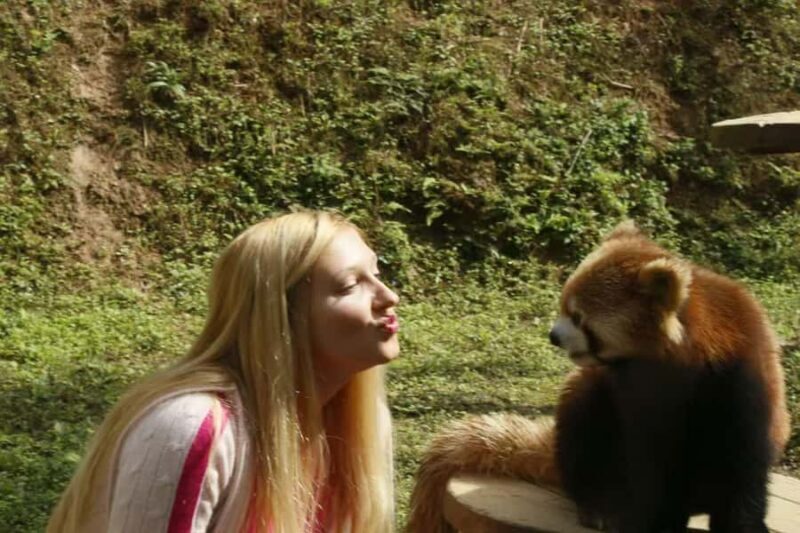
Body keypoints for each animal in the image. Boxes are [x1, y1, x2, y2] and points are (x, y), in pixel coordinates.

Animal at [406, 221, 790, 533]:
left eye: (578, 317)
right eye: (562, 306)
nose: (553, 336)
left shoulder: (742, 381)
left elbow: (743, 465)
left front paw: (742, 523)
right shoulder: (635, 399)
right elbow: (650, 462)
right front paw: (654, 518)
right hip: (587, 406)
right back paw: (601, 505)